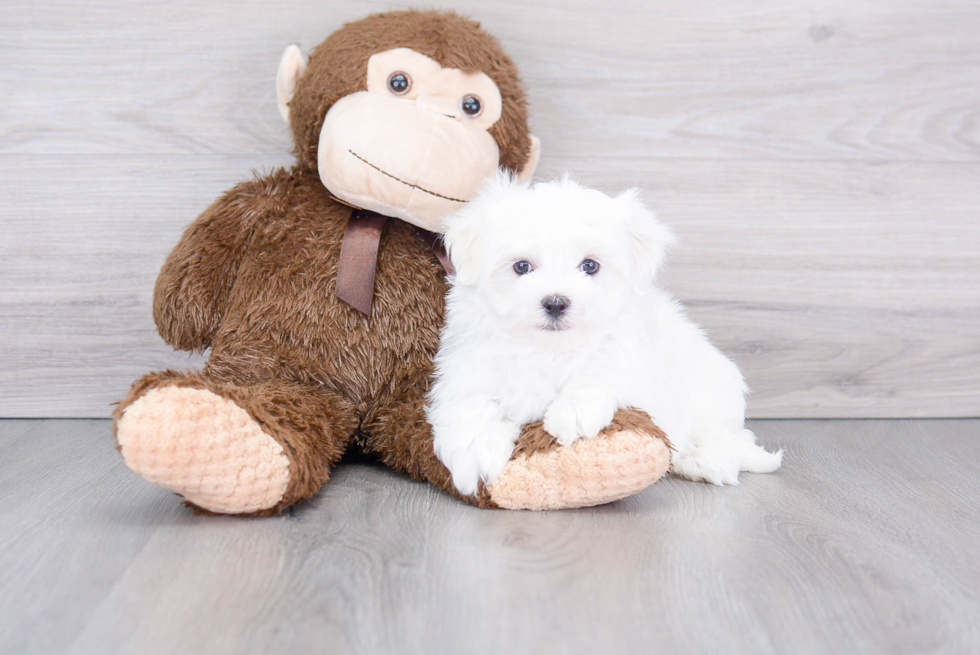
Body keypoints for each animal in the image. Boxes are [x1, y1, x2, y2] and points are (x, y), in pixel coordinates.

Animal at [426, 176, 780, 498]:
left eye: (590, 266)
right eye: (522, 266)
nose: (555, 302)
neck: (549, 348)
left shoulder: (631, 355)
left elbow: (603, 370)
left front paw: (572, 412)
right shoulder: (467, 367)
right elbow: (470, 405)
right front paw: (476, 455)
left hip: (712, 392)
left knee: (724, 438)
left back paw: (705, 461)